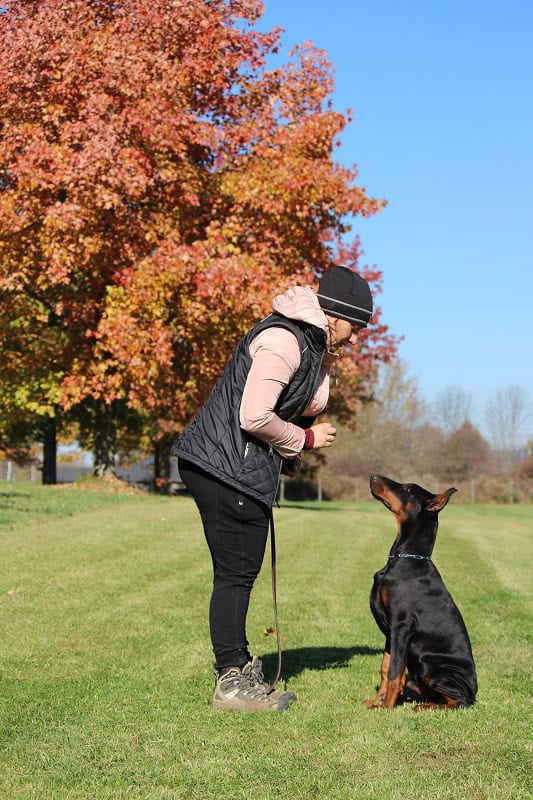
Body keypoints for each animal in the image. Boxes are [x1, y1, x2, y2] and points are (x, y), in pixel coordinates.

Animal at [364, 472, 476, 708]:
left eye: (408, 488)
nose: (373, 475)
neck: (405, 558)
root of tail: (473, 692)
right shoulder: (390, 631)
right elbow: (386, 667)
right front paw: (377, 701)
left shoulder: (401, 625)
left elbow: (395, 671)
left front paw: (386, 707)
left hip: (433, 668)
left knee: (459, 701)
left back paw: (425, 706)